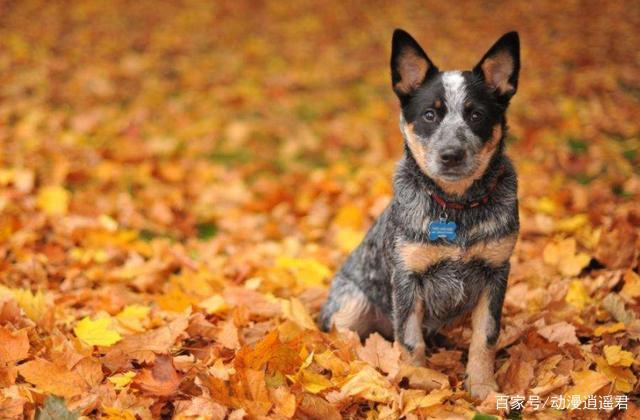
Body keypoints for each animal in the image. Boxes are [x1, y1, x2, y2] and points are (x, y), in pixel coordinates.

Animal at [320, 27, 520, 398]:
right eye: (430, 114)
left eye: (476, 115)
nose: (451, 154)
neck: (456, 207)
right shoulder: (406, 278)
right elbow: (410, 341)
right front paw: (419, 385)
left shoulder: (496, 272)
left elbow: (485, 337)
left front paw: (483, 387)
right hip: (350, 303)